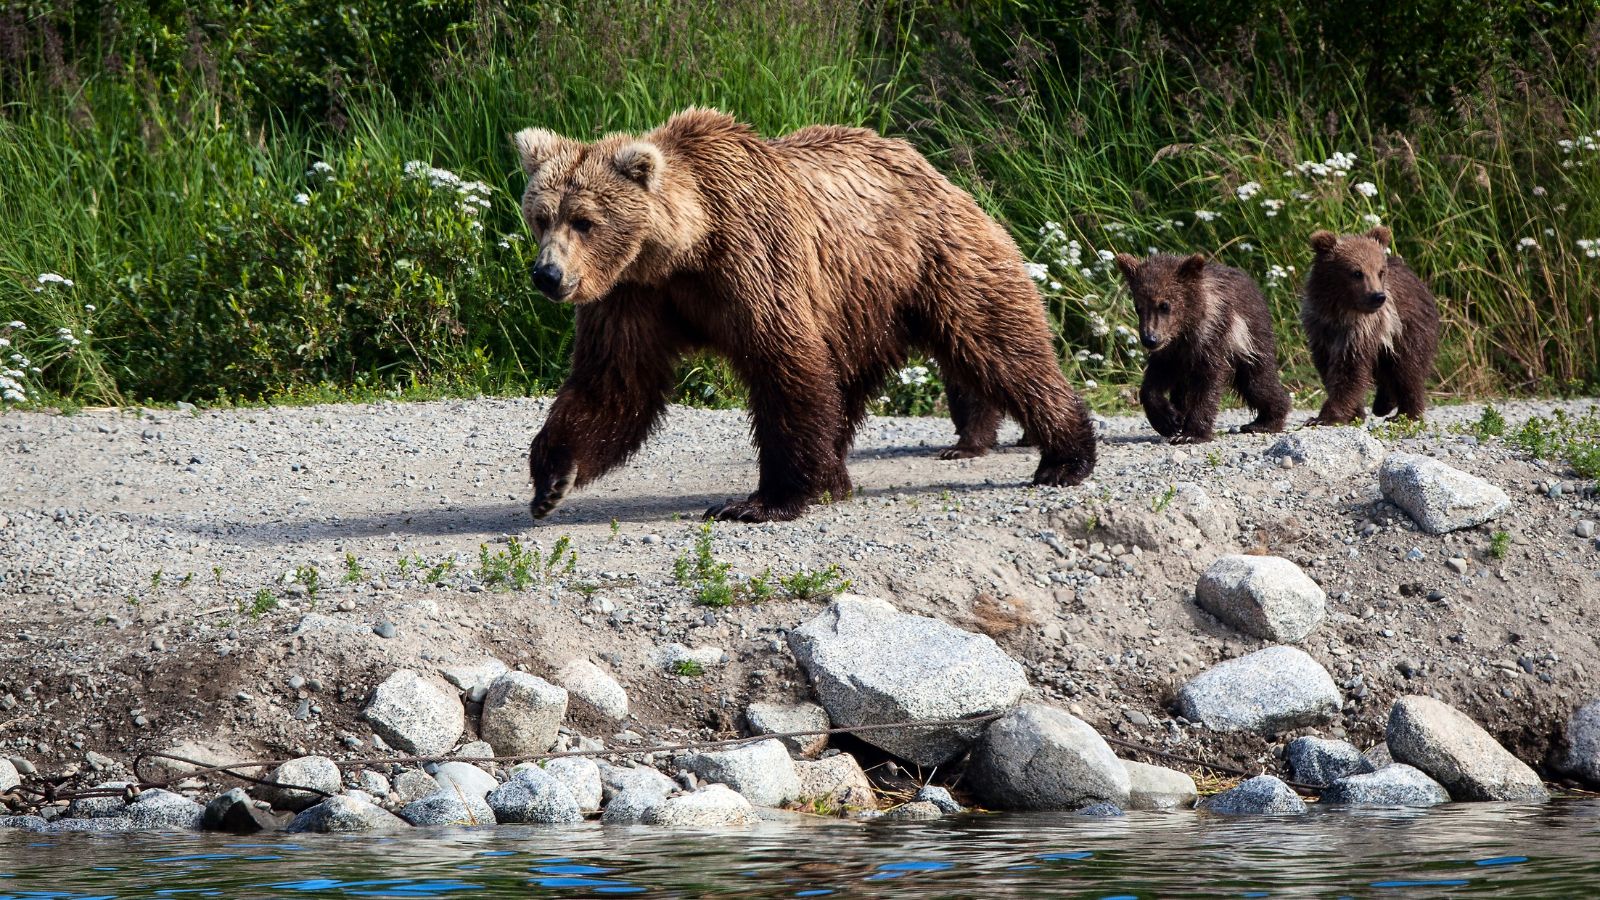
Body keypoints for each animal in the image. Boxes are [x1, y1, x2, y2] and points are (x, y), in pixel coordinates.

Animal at [518, 108, 1094, 522]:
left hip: (934, 262)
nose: (547, 275)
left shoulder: (753, 262)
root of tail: (940, 174)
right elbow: (614, 382)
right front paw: (552, 478)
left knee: (998, 344)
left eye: (585, 221)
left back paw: (1066, 458)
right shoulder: (634, 293)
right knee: (848, 385)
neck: (685, 248)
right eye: (541, 216)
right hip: (862, 304)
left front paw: (761, 501)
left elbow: (785, 368)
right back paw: (836, 478)